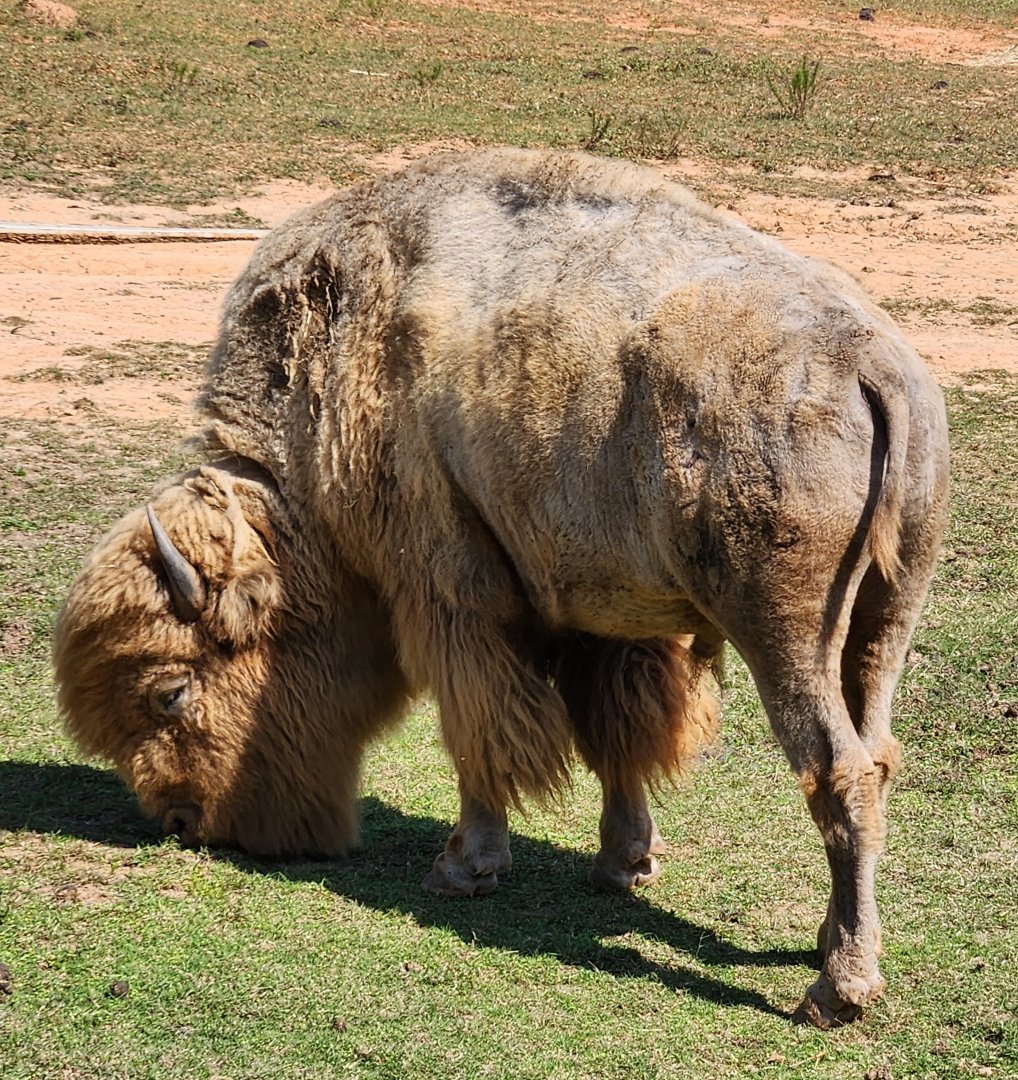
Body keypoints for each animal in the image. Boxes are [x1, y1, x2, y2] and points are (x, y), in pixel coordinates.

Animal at [54, 148, 950, 1026]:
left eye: (170, 692)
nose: (181, 820)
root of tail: (871, 363)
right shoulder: (606, 614)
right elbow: (616, 732)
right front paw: (624, 862)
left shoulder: (451, 597)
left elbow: (479, 731)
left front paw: (464, 867)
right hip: (882, 622)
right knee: (877, 756)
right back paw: (830, 941)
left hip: (782, 632)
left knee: (837, 770)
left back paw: (838, 988)